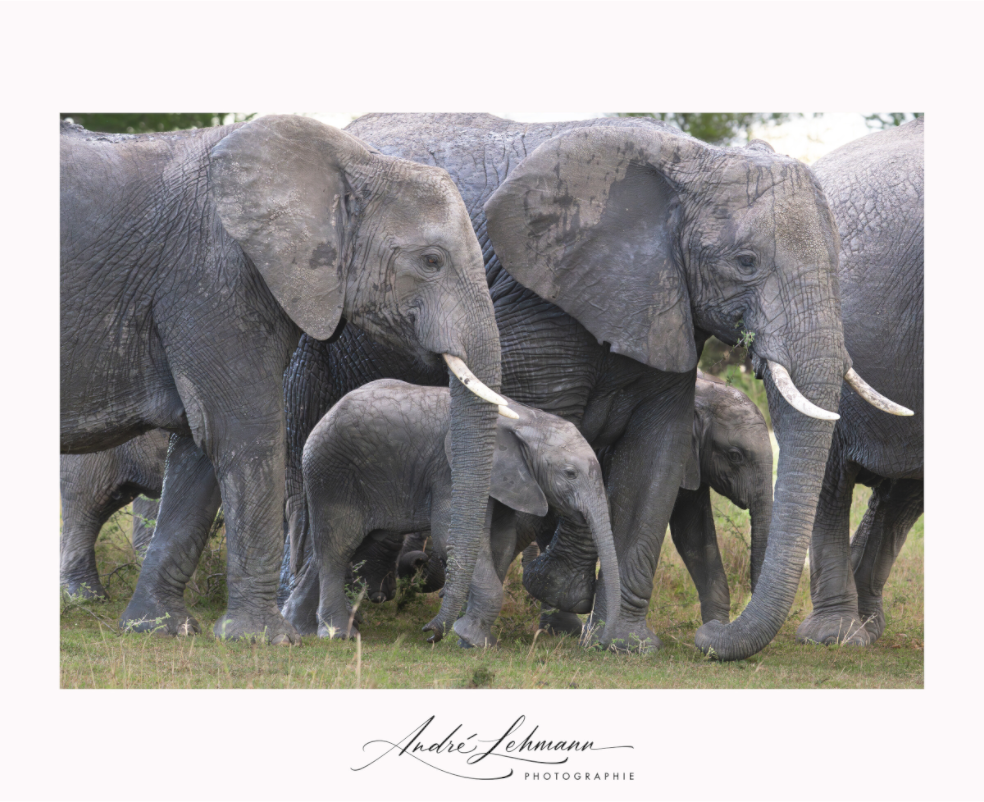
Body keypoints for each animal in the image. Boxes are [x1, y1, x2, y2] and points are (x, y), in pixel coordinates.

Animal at [281, 379, 621, 649]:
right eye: (570, 473)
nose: (428, 633)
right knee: (338, 547)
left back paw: (304, 628)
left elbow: (501, 543)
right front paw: (473, 640)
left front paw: (470, 638)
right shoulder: (451, 471)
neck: (528, 418)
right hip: (331, 473)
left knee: (344, 546)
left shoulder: (508, 484)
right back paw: (339, 635)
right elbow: (452, 539)